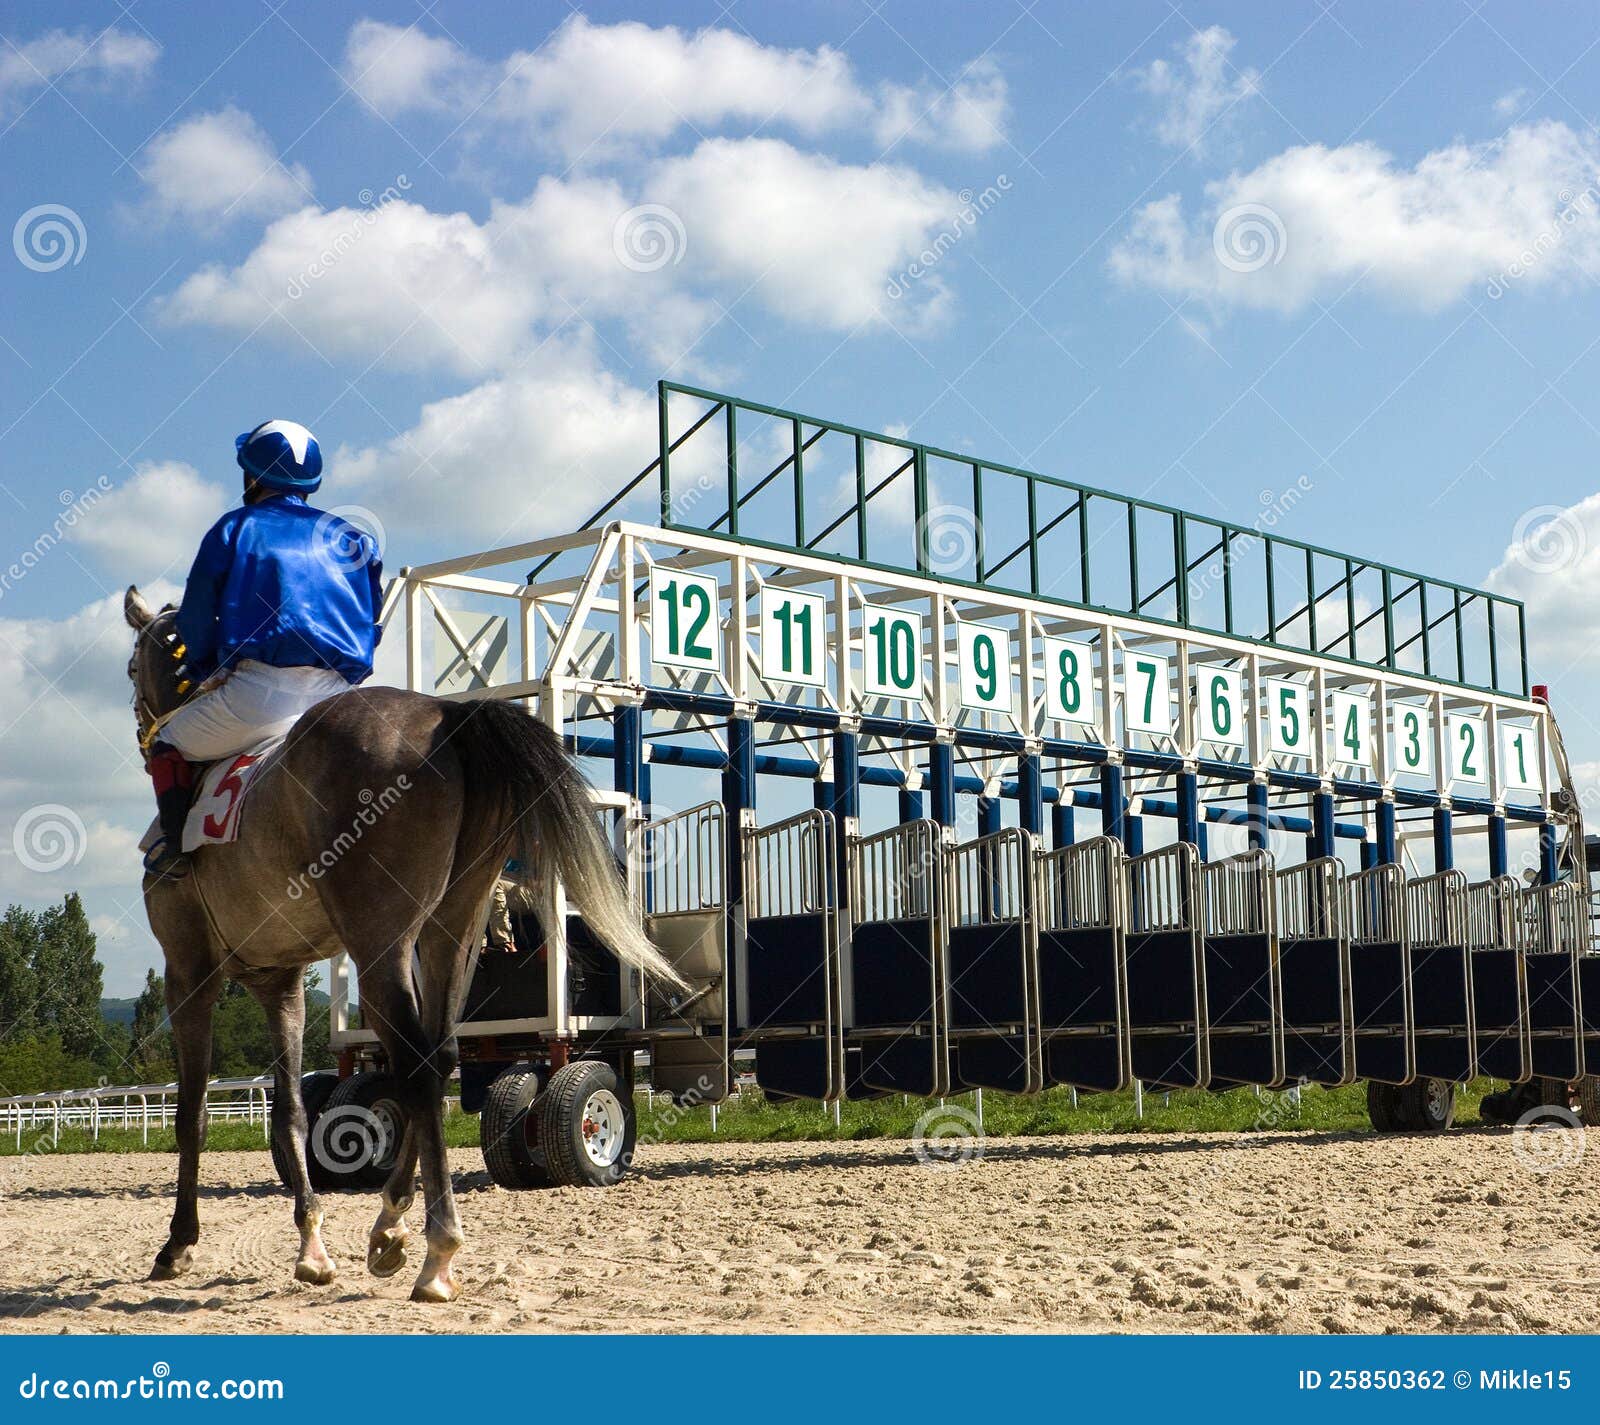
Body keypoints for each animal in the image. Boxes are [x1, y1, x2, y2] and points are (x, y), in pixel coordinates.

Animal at [124, 585, 681, 1302]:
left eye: (133, 667)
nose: (142, 722)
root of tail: (448, 716)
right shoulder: (281, 982)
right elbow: (291, 1110)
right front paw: (311, 1246)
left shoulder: (187, 970)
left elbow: (190, 1110)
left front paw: (178, 1242)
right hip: (451, 933)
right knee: (437, 1056)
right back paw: (390, 1225)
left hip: (380, 945)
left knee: (416, 1061)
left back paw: (435, 1248)